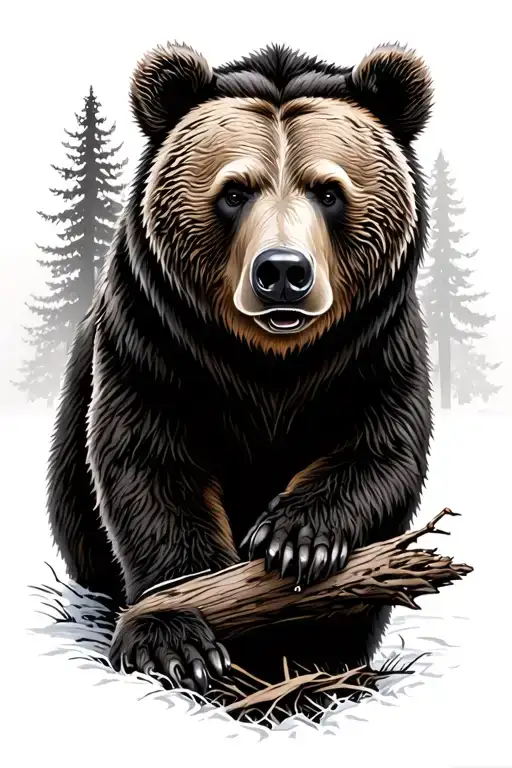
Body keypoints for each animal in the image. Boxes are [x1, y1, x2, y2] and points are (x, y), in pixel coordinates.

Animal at [46, 40, 433, 696]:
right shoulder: (153, 341)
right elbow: (150, 464)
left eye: (328, 191)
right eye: (234, 191)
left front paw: (293, 540)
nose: (282, 272)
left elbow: (381, 445)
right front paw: (178, 638)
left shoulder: (374, 348)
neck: (267, 362)